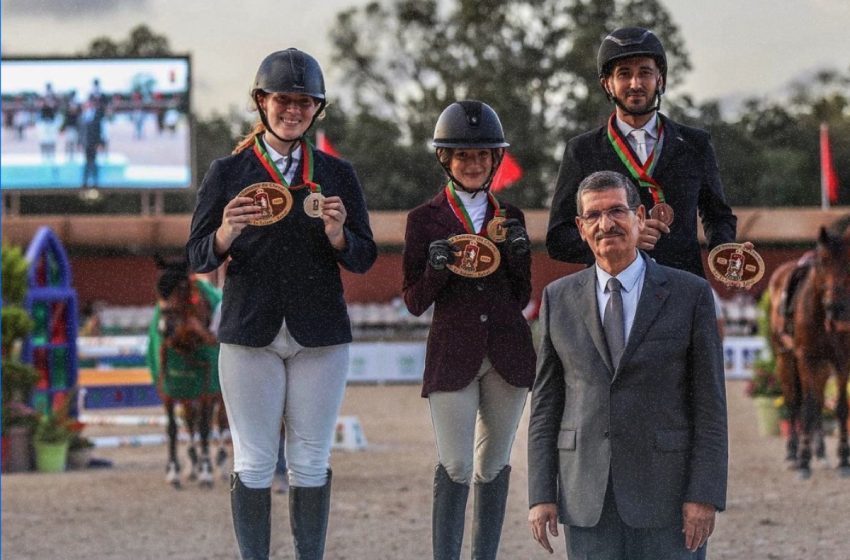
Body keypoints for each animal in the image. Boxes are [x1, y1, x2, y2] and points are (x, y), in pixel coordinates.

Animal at [764, 221, 848, 480]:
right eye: (822, 261)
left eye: (849, 261)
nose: (835, 306)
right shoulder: (807, 359)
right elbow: (807, 408)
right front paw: (803, 461)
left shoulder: (842, 360)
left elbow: (840, 407)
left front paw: (844, 460)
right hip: (785, 358)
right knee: (795, 402)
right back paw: (793, 453)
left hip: (823, 367)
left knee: (819, 400)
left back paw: (820, 453)